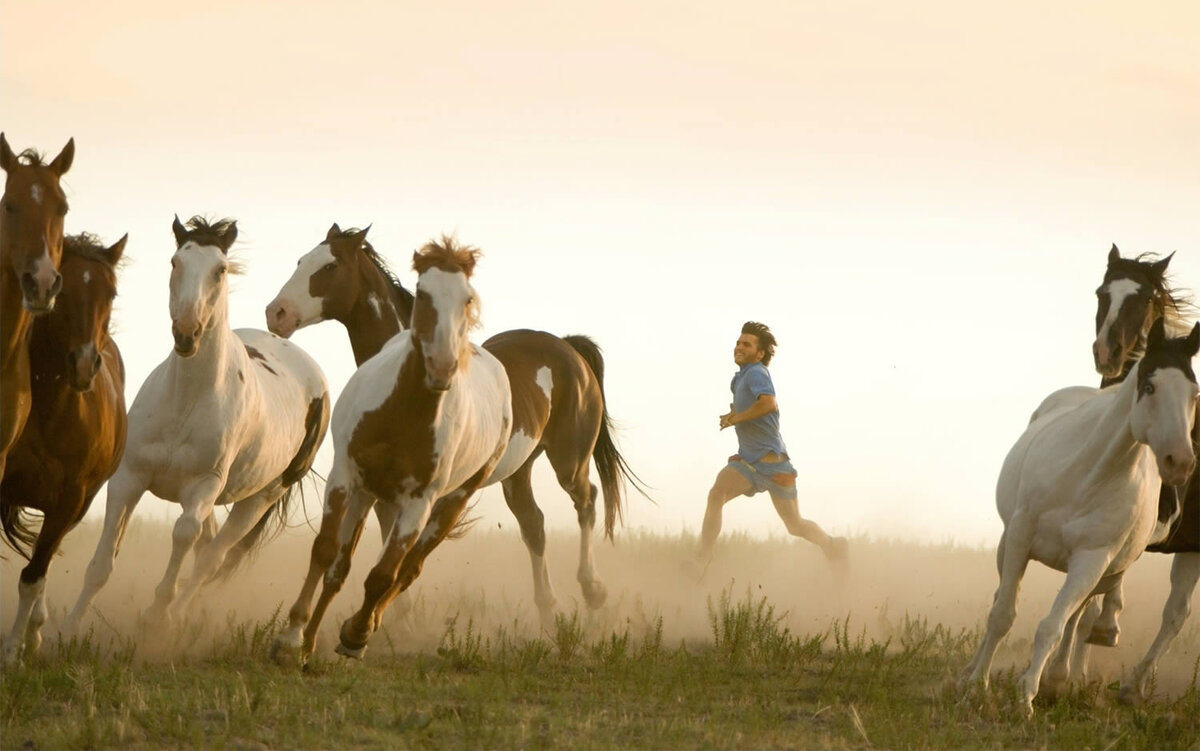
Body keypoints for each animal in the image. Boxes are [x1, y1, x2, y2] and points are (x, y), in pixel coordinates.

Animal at [0, 231, 128, 657]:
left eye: (111, 293)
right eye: (63, 288)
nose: (84, 364)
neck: (52, 411)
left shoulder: (69, 502)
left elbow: (33, 576)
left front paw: (13, 651)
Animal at [63, 218, 331, 633]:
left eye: (220, 269)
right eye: (175, 262)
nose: (186, 332)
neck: (186, 399)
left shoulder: (202, 486)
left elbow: (183, 535)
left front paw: (158, 611)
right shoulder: (129, 478)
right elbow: (102, 563)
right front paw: (70, 625)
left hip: (258, 498)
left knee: (212, 557)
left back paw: (176, 614)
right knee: (207, 547)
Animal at [270, 236, 513, 657]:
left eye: (330, 266)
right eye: (302, 261)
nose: (277, 313)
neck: (404, 407)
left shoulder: (413, 503)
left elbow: (383, 573)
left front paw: (356, 634)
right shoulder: (357, 483)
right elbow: (331, 557)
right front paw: (296, 638)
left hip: (453, 500)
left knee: (409, 569)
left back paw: (362, 630)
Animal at [960, 316, 1200, 715]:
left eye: (1193, 394)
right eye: (1150, 386)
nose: (1180, 462)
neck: (1090, 475)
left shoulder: (1092, 560)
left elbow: (1054, 626)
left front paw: (1026, 697)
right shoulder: (1020, 538)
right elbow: (1002, 615)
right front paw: (978, 683)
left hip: (1116, 568)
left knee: (1120, 616)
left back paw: (1064, 679)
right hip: (1008, 545)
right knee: (1002, 600)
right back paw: (972, 672)